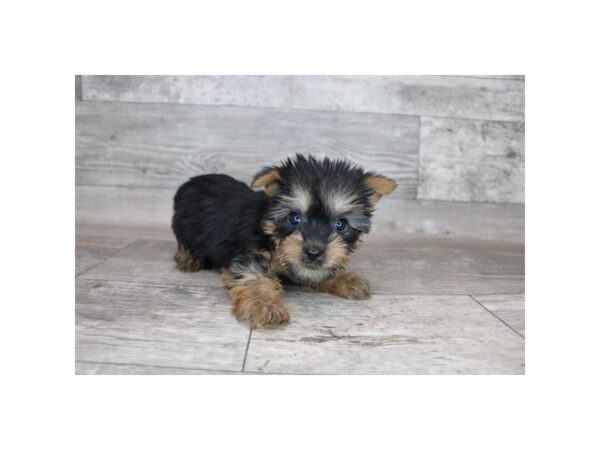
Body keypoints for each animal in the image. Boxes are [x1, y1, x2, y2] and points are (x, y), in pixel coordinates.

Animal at [172, 155, 398, 326]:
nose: (313, 252)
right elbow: (255, 278)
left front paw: (345, 279)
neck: (273, 236)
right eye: (294, 218)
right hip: (183, 222)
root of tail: (193, 181)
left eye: (340, 224)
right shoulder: (250, 255)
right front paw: (264, 305)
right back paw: (188, 258)